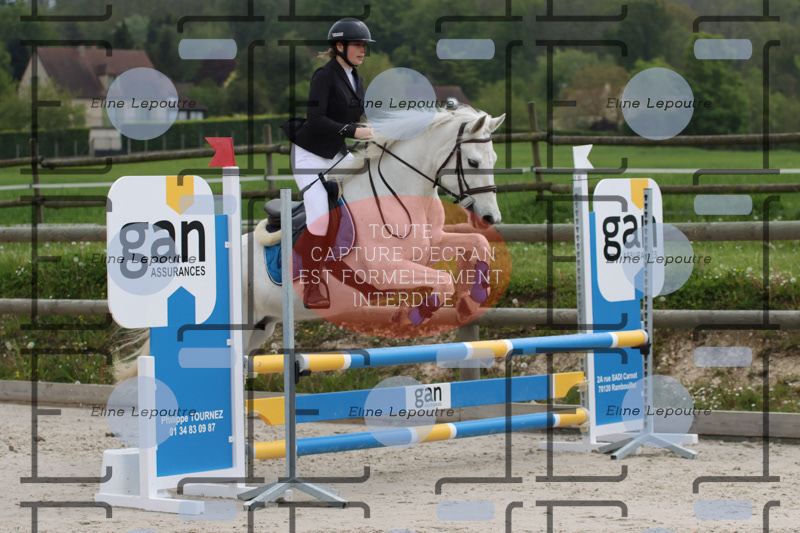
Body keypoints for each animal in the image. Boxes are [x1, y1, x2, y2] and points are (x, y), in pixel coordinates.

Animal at [114, 106, 505, 381]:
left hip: (260, 326)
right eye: (472, 161)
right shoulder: (383, 269)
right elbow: (440, 281)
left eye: (494, 160)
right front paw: (414, 313)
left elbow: (475, 245)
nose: (490, 217)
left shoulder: (431, 244)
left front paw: (475, 295)